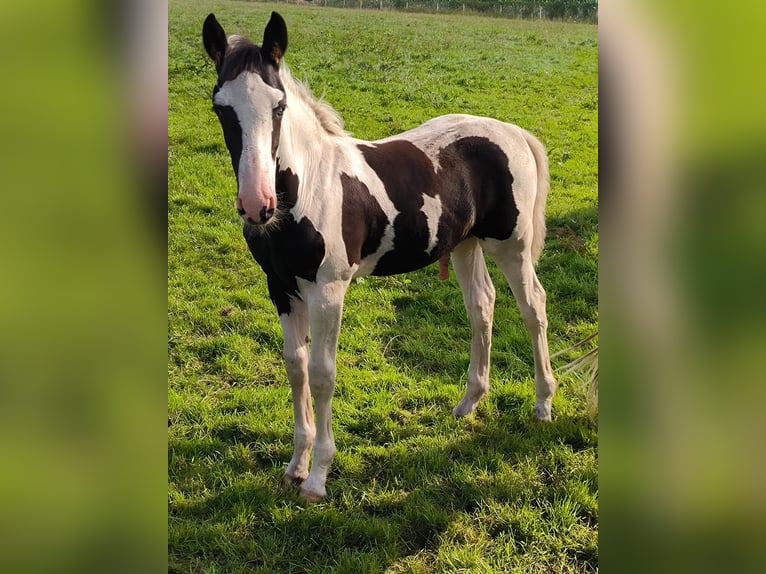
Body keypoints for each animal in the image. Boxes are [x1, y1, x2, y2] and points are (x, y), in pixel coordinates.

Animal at [201, 11, 556, 502]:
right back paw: (467, 403)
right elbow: (295, 368)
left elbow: (321, 374)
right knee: (481, 305)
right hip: (464, 244)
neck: (310, 186)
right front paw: (295, 466)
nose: (257, 205)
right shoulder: (281, 288)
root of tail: (514, 132)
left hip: (512, 245)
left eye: (279, 106)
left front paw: (317, 478)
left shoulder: (328, 290)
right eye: (221, 107)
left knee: (532, 307)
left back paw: (543, 404)